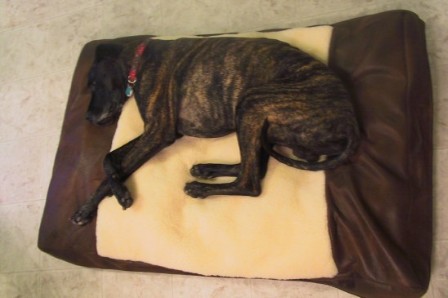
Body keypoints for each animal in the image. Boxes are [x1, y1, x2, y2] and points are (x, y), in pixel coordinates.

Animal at [72, 36, 360, 225]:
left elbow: (115, 165)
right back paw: (207, 169)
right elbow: (109, 159)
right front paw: (97, 202)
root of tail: (350, 122)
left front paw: (112, 196)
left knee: (251, 182)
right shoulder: (158, 133)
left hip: (251, 103)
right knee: (253, 167)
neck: (139, 61)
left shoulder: (158, 132)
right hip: (260, 126)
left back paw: (200, 188)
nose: (88, 117)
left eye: (92, 83)